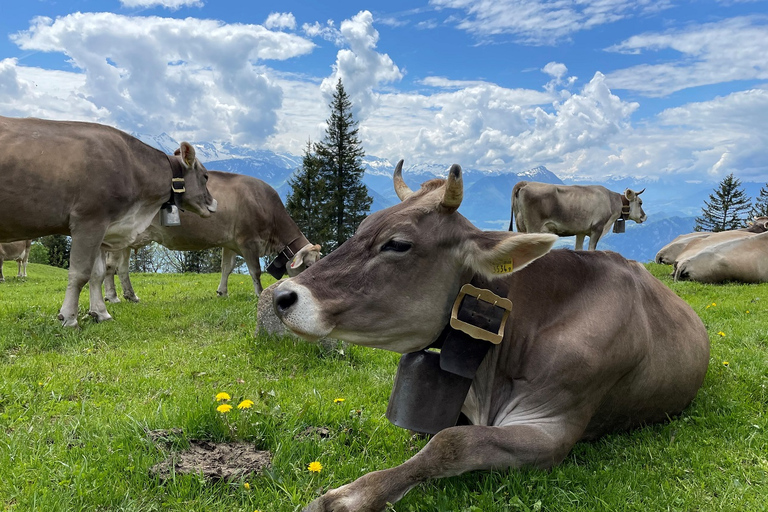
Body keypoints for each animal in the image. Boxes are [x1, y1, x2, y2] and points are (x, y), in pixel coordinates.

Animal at [0, 115, 218, 328]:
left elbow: (97, 273)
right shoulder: (89, 221)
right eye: (206, 176)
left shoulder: (103, 229)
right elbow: (80, 273)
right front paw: (69, 317)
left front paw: (100, 313)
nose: (214, 203)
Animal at [103, 170, 320, 302]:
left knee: (122, 269)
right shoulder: (247, 241)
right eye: (307, 266)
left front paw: (222, 292)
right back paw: (112, 297)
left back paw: (131, 296)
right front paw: (259, 294)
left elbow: (226, 268)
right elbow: (255, 271)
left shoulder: (230, 243)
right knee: (110, 266)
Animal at [512, 181, 644, 251]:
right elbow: (591, 249)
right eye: (640, 202)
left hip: (521, 227)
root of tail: (525, 184)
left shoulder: (581, 232)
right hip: (533, 227)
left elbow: (579, 249)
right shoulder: (597, 228)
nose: (644, 216)